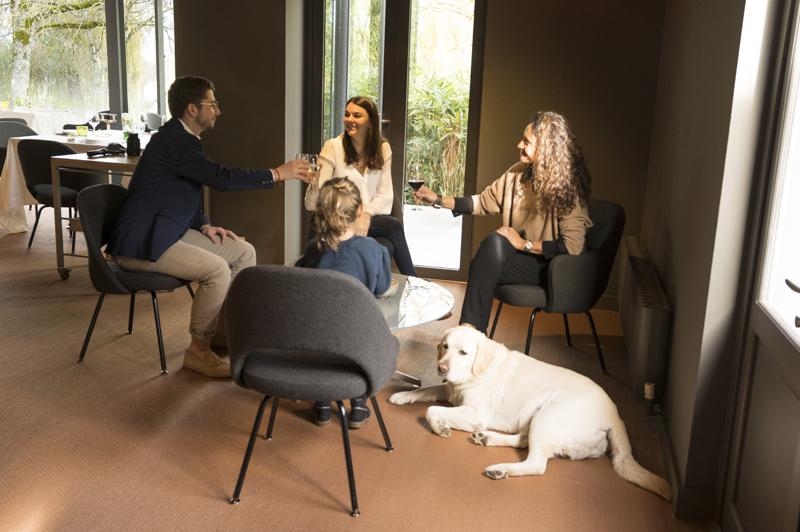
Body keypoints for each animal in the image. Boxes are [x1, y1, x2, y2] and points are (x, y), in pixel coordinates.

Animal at [390, 324, 672, 498]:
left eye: (463, 352)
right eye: (444, 346)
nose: (442, 367)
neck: (479, 369)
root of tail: (615, 415)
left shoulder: (475, 413)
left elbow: (431, 410)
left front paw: (440, 426)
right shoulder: (451, 390)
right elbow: (428, 390)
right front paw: (402, 395)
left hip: (549, 414)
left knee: (536, 463)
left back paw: (500, 468)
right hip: (540, 418)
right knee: (526, 441)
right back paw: (488, 439)